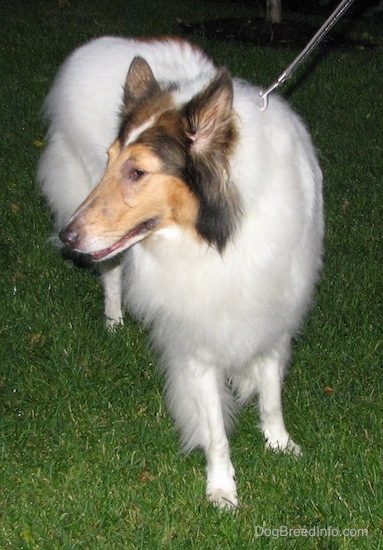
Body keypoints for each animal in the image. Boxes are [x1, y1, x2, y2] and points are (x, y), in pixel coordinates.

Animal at [38, 36, 324, 512]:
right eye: (110, 160)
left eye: (137, 171)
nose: (66, 237)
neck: (217, 238)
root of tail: (98, 46)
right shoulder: (196, 340)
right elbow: (215, 427)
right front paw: (222, 488)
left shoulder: (272, 312)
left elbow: (270, 393)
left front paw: (280, 444)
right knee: (111, 272)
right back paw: (114, 322)